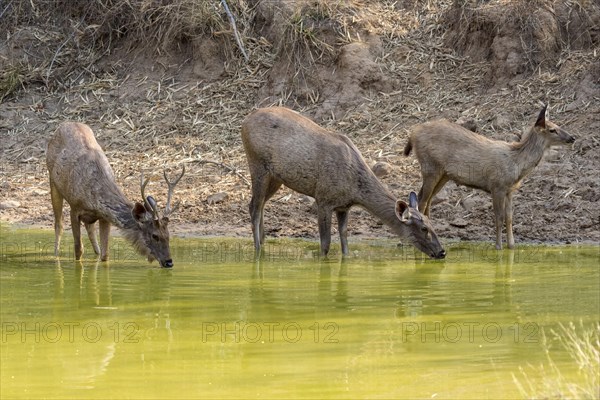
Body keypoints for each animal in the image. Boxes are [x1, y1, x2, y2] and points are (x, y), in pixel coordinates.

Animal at [46, 120, 184, 268]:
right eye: (154, 235)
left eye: (168, 235)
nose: (169, 262)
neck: (93, 197)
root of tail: (66, 123)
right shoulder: (74, 208)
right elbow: (78, 249)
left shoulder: (104, 217)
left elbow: (105, 254)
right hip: (52, 180)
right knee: (59, 224)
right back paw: (55, 256)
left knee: (90, 229)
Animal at [243, 105, 446, 260]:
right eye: (423, 228)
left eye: (432, 223)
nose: (442, 252)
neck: (354, 189)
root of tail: (245, 120)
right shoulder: (323, 199)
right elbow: (325, 245)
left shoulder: (343, 207)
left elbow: (344, 241)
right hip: (257, 164)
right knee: (254, 206)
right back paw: (258, 251)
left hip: (276, 177)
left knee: (259, 205)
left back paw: (263, 242)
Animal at [406, 106, 576, 250]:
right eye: (552, 129)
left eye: (558, 125)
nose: (572, 138)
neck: (517, 165)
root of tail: (413, 134)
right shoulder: (497, 186)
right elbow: (499, 217)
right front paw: (498, 246)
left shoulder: (509, 191)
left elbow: (509, 217)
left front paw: (511, 245)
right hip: (430, 167)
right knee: (422, 201)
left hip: (443, 174)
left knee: (425, 199)